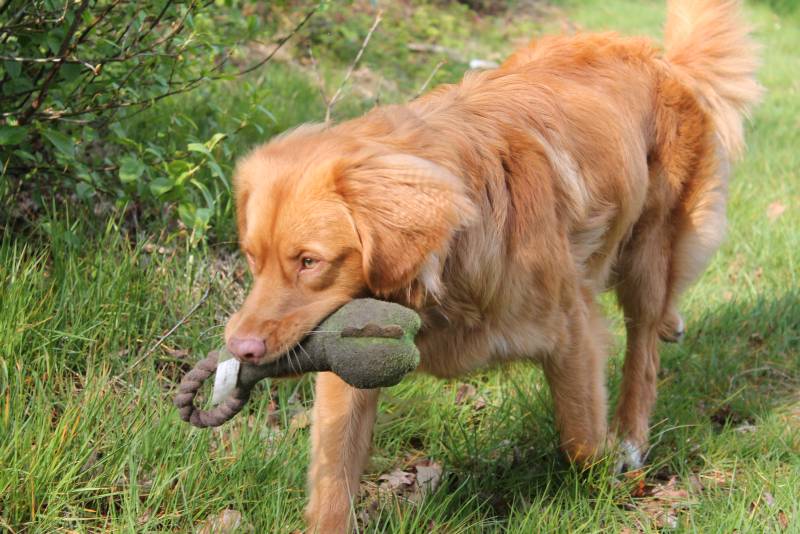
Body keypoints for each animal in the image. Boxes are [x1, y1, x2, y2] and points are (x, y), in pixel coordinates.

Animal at [222, 0, 760, 532]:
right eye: (252, 257)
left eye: (309, 262)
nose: (241, 348)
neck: (446, 268)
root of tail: (659, 58)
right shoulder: (350, 355)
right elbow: (335, 475)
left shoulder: (573, 331)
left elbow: (581, 439)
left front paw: (613, 475)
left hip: (648, 250)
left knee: (644, 350)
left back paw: (631, 435)